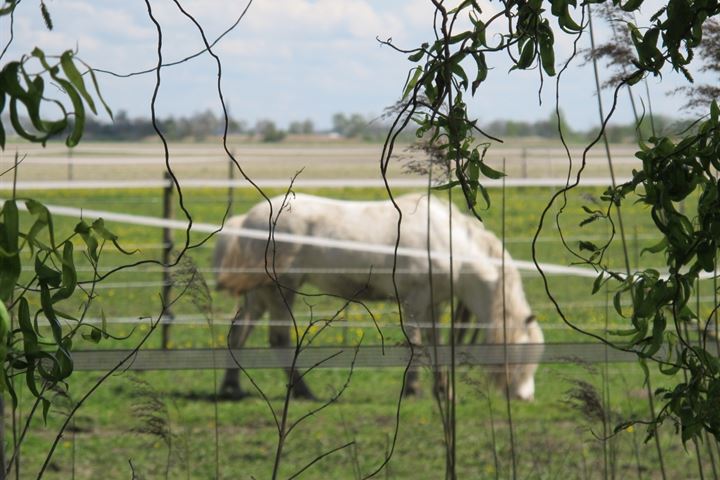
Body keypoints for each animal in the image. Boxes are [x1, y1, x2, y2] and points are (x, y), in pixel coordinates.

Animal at [217, 193, 544, 400]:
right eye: (523, 352)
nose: (526, 396)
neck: (447, 241)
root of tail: (246, 220)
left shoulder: (434, 305)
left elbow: (436, 345)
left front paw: (442, 390)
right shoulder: (414, 301)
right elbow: (417, 344)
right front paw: (413, 389)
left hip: (259, 294)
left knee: (239, 334)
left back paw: (231, 388)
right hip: (280, 291)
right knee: (278, 340)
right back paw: (303, 392)